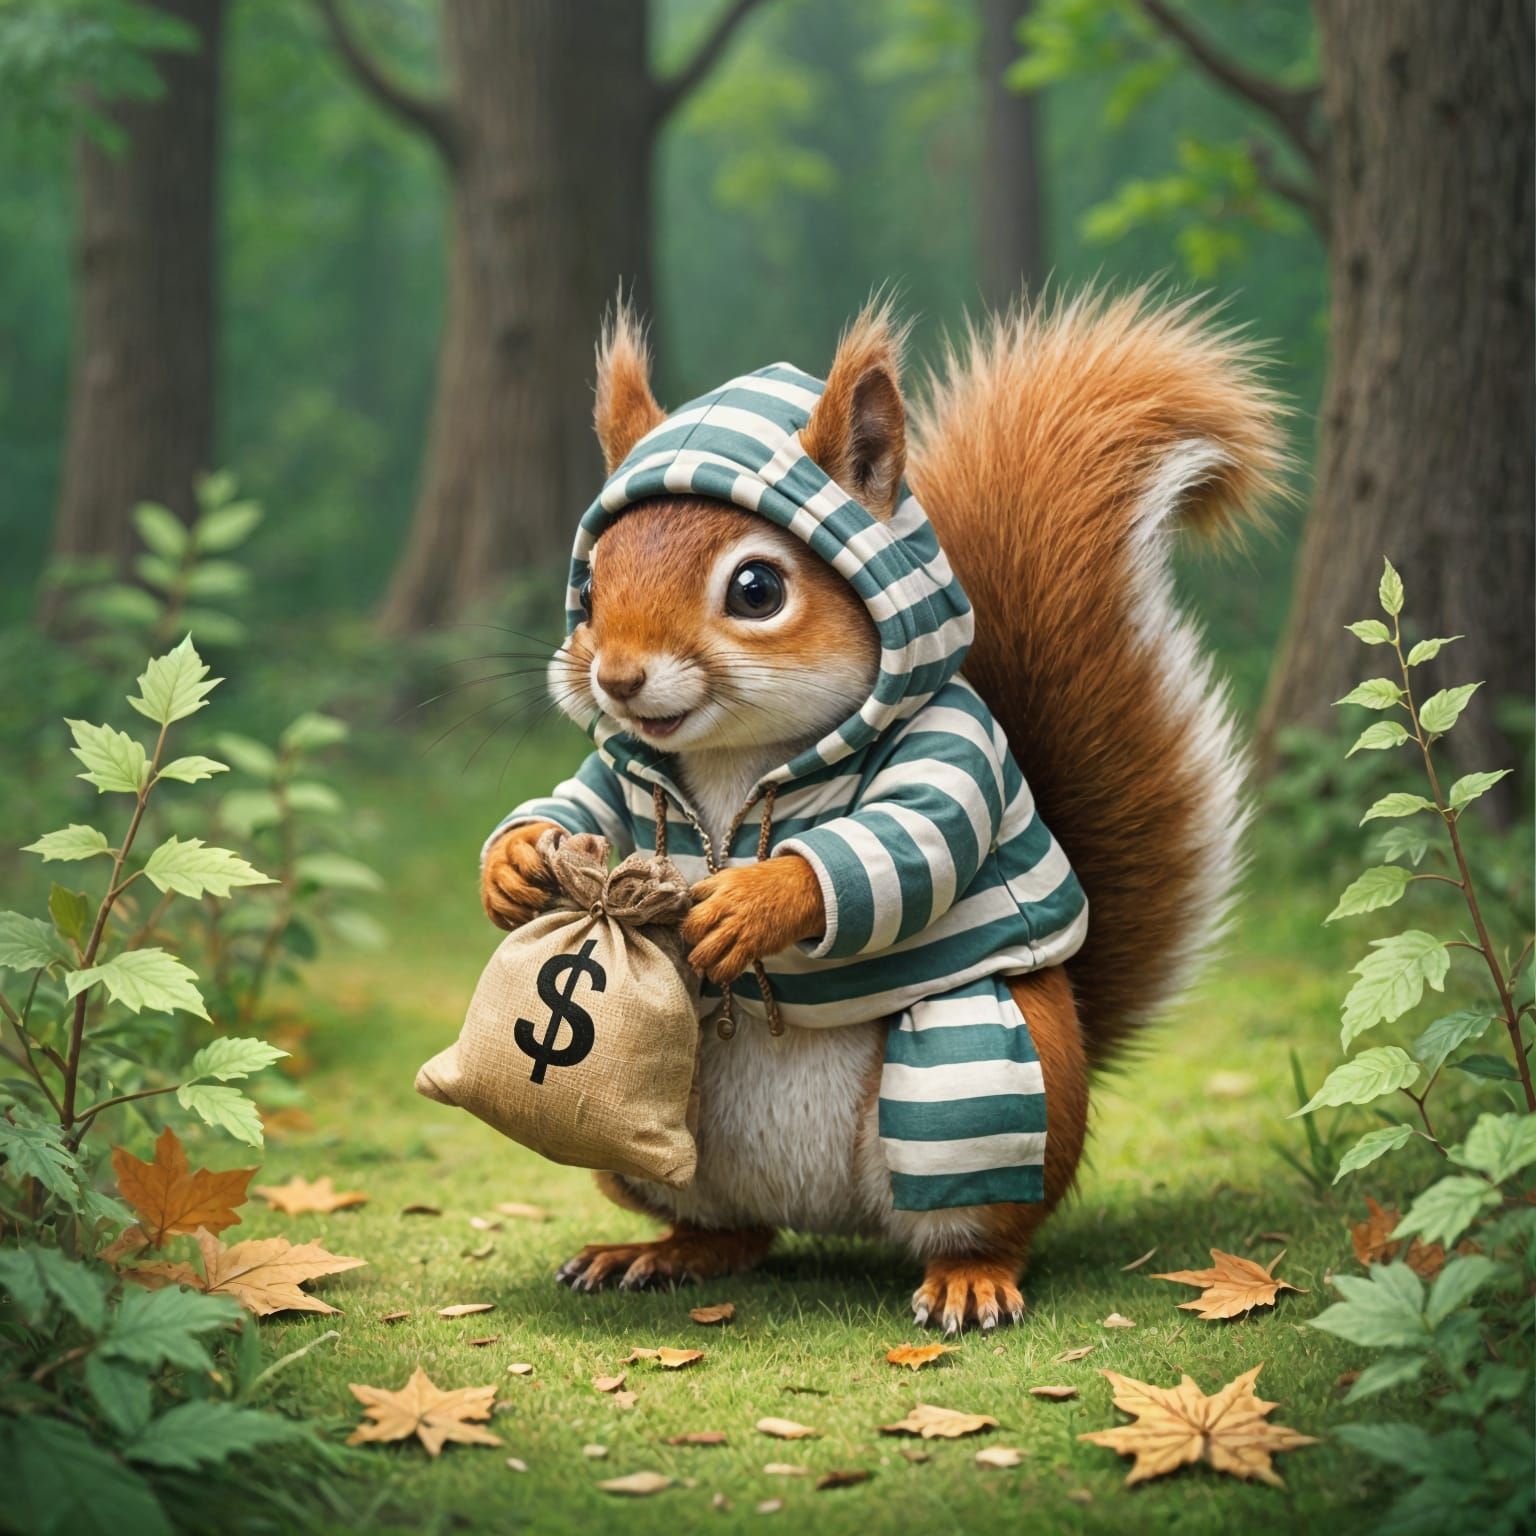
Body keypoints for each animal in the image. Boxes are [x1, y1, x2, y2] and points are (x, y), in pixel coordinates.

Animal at [480, 291, 1283, 1333]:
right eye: (589, 583)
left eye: (757, 588)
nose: (616, 678)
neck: (735, 761)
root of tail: (832, 1218)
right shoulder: (624, 783)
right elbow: (580, 800)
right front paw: (514, 860)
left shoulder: (951, 746)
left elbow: (908, 838)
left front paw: (755, 903)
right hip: (660, 1141)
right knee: (734, 1234)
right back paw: (657, 1252)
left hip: (981, 1093)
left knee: (983, 1213)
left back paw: (970, 1279)